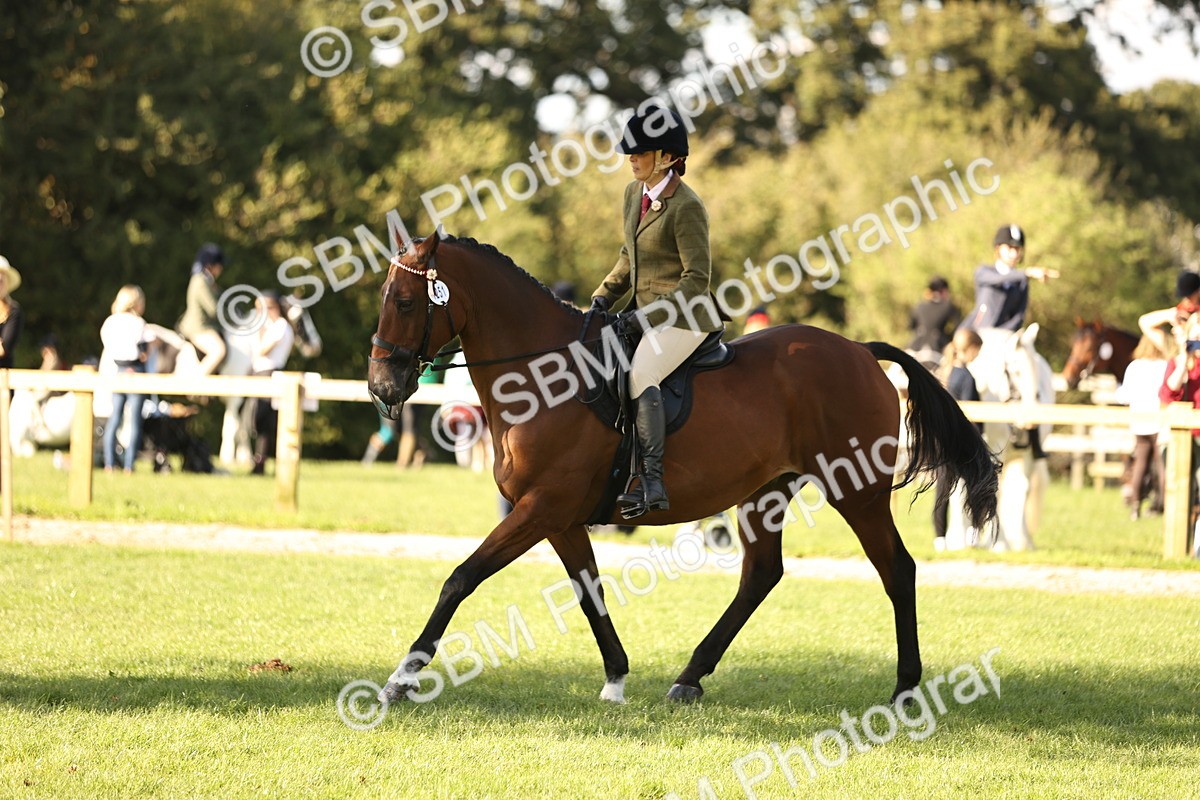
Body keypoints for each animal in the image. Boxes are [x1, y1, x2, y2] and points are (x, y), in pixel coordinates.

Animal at [366, 232, 999, 706]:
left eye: (405, 302)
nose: (381, 387)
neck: (543, 377)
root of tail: (862, 351)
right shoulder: (559, 518)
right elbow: (589, 592)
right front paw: (616, 678)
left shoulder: (541, 508)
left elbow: (460, 579)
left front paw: (401, 678)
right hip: (766, 492)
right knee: (761, 575)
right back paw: (688, 678)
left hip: (856, 490)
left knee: (897, 569)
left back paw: (904, 689)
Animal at [950, 325, 1055, 552]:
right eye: (1016, 371)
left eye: (1036, 371)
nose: (1032, 419)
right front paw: (995, 542)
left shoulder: (1025, 456)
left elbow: (1020, 491)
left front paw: (1005, 542)